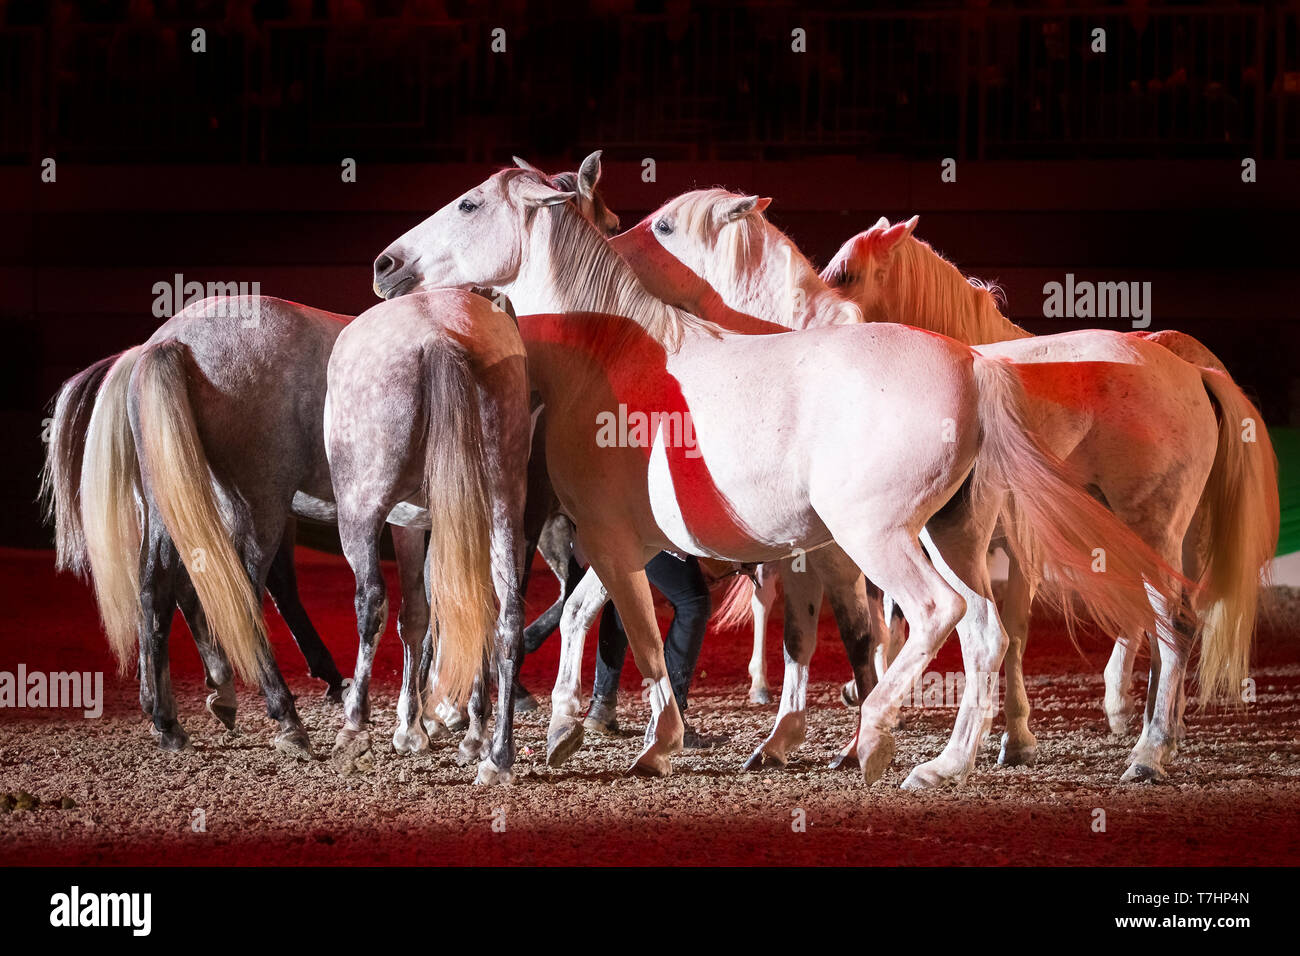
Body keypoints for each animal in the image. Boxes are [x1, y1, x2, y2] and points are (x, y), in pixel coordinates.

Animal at [374, 166, 1180, 785]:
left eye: (469, 204)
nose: (385, 265)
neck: (615, 356)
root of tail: (974, 366)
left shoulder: (610, 539)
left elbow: (641, 638)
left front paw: (653, 747)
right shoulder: (628, 542)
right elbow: (586, 617)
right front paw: (569, 729)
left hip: (881, 538)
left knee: (936, 615)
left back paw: (879, 737)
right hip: (953, 536)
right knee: (984, 632)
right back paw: (946, 764)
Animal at [821, 218, 1279, 785]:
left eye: (846, 273)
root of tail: (1192, 372)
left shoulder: (1009, 543)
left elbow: (1005, 631)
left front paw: (1009, 737)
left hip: (1150, 526)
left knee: (1173, 623)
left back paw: (1147, 751)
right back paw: (1160, 729)